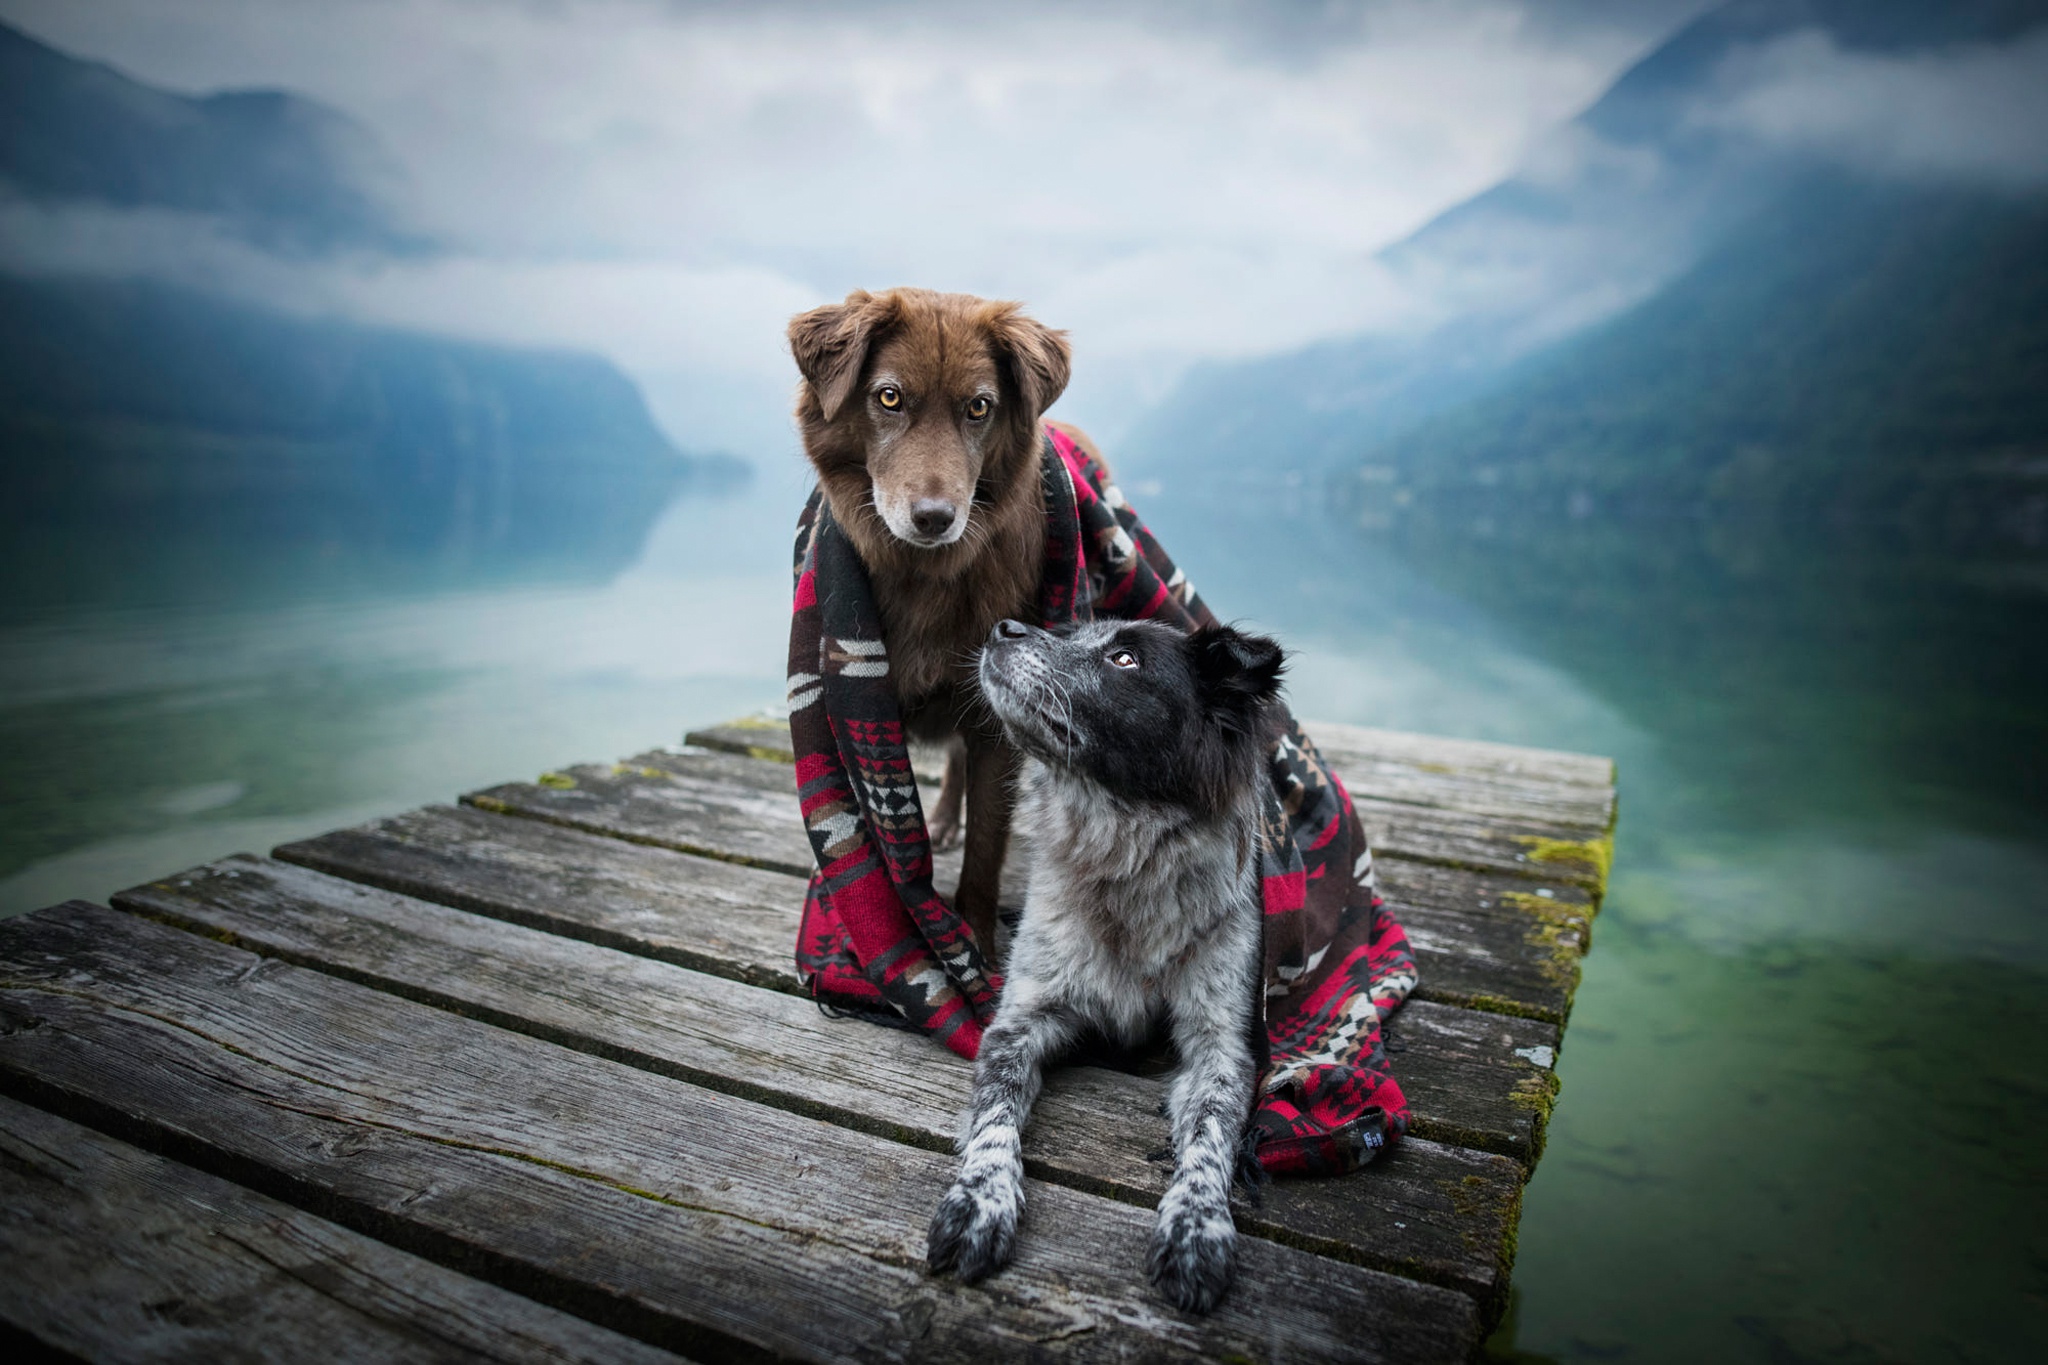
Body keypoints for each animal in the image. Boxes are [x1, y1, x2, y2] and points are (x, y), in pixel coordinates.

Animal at [790, 286, 1105, 961]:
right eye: (888, 397)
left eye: (979, 408)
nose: (934, 518)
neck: (926, 576)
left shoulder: (995, 715)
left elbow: (987, 844)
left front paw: (977, 944)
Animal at [929, 618, 1277, 1309]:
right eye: (1076, 633)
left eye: (1123, 659)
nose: (1005, 626)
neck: (1126, 862)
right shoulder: (1021, 1020)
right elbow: (995, 1117)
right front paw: (980, 1200)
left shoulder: (1221, 1045)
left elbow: (1212, 1138)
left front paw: (1197, 1228)